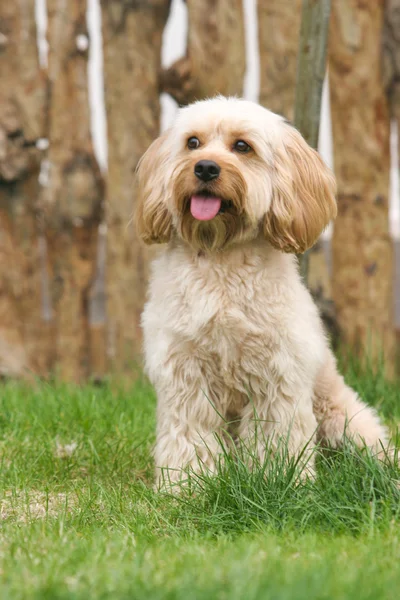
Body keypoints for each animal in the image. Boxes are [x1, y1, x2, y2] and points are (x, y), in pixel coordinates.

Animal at [135, 95, 388, 488]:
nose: (205, 168)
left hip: (343, 418)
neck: (221, 254)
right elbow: (190, 433)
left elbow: (275, 435)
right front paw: (186, 484)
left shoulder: (276, 372)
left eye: (242, 146)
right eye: (192, 142)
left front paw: (277, 480)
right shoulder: (186, 372)